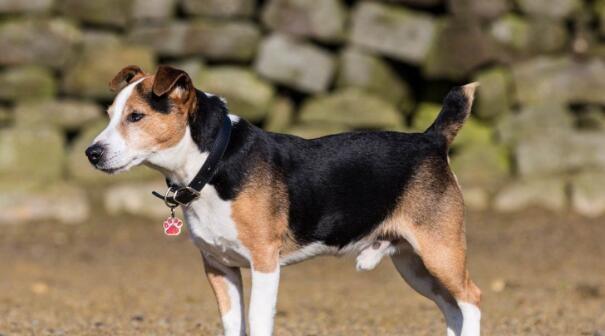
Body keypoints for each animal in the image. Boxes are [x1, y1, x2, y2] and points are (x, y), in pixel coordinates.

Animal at [86, 65, 482, 336]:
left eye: (136, 116)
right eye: (109, 116)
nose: (92, 153)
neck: (213, 163)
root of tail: (430, 139)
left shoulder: (264, 264)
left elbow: (258, 322)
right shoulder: (219, 267)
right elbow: (232, 325)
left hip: (440, 252)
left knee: (471, 301)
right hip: (415, 265)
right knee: (452, 308)